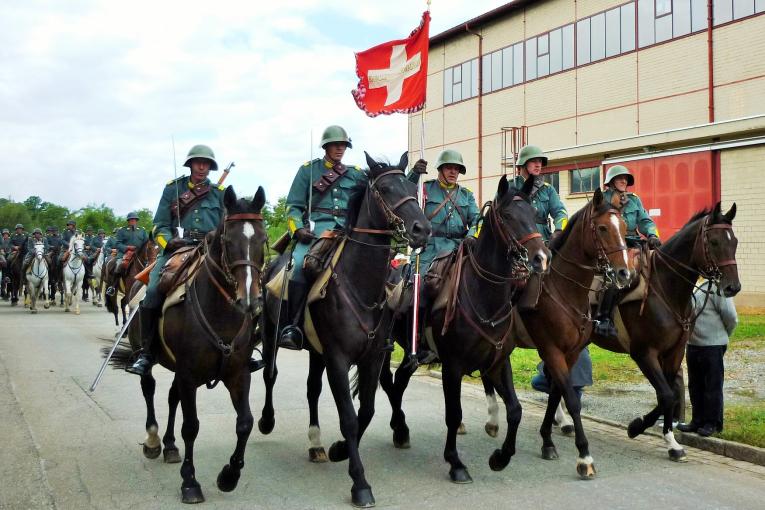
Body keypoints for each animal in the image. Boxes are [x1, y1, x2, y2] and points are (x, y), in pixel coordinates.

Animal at [121, 185, 270, 504]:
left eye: (263, 240)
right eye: (228, 240)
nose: (249, 300)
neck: (220, 312)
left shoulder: (238, 374)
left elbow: (245, 422)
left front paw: (229, 476)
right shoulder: (189, 375)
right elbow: (191, 426)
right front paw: (190, 482)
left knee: (171, 397)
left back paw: (169, 445)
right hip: (149, 356)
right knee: (149, 388)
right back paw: (154, 440)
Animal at [258, 153, 430, 508]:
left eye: (412, 187)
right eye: (386, 189)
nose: (422, 229)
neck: (359, 282)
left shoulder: (371, 358)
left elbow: (366, 411)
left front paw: (339, 450)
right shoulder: (338, 358)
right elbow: (349, 418)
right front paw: (360, 483)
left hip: (316, 352)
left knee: (311, 389)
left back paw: (316, 444)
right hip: (270, 334)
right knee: (269, 374)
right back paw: (266, 421)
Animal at [584, 203, 740, 462]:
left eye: (735, 241)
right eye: (714, 241)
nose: (733, 287)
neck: (666, 288)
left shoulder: (674, 352)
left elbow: (671, 393)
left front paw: (670, 441)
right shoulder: (644, 353)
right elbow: (666, 394)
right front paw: (636, 426)